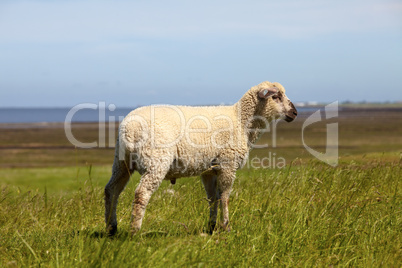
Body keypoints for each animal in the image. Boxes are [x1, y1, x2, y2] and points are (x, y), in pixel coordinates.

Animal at [104, 80, 298, 236]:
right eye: (276, 97)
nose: (295, 112)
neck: (242, 121)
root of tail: (129, 128)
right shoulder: (228, 164)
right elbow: (225, 197)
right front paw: (226, 226)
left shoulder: (210, 170)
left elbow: (213, 198)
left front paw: (212, 227)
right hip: (156, 161)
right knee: (141, 194)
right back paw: (134, 231)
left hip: (121, 162)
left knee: (111, 190)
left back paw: (111, 228)